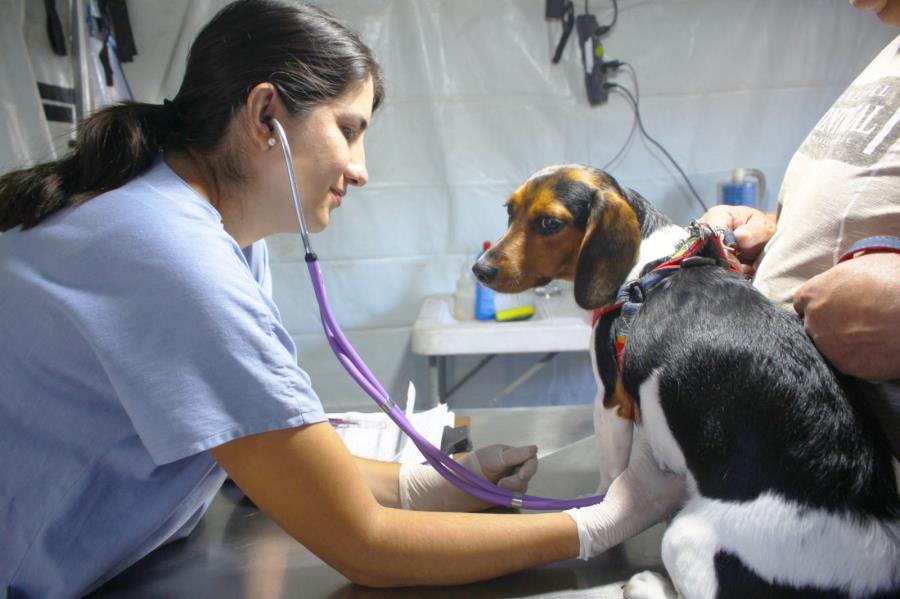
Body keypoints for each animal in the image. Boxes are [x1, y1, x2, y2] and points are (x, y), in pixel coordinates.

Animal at [474, 165, 896, 599]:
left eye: (550, 223)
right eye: (509, 210)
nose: (480, 269)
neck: (646, 265)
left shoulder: (610, 399)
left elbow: (609, 472)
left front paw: (598, 501)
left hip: (684, 537)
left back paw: (647, 583)